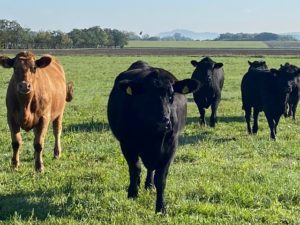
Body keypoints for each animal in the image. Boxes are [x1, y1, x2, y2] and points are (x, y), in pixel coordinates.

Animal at [106, 60, 200, 212]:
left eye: (171, 96)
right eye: (147, 97)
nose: (164, 122)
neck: (153, 137)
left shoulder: (171, 147)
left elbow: (160, 178)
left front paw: (161, 207)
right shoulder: (127, 144)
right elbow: (135, 169)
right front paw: (132, 193)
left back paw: (149, 185)